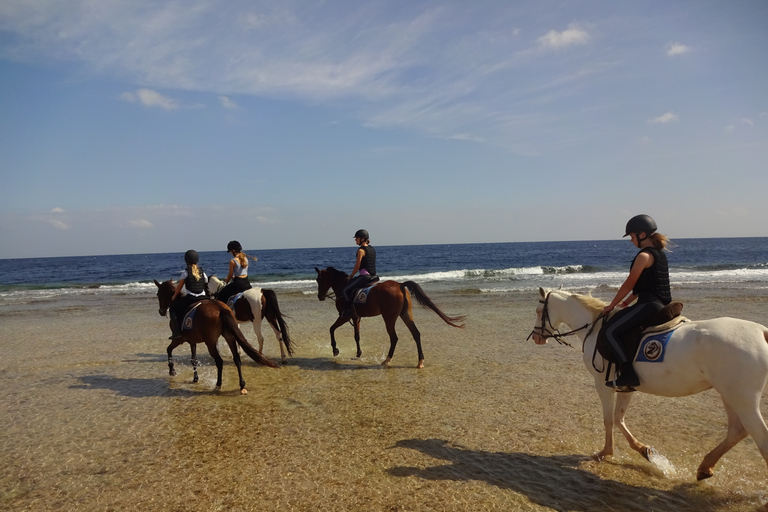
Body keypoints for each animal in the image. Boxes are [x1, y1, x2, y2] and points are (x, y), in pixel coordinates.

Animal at [314, 268, 468, 368]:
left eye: (319, 280)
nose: (320, 296)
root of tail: (400, 285)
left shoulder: (345, 317)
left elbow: (331, 329)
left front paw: (335, 350)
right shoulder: (356, 317)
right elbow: (356, 336)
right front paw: (358, 354)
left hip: (389, 318)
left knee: (394, 338)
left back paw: (387, 360)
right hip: (406, 315)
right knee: (416, 334)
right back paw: (420, 362)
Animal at [532, 286, 768, 494]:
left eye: (538, 312)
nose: (536, 337)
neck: (596, 329)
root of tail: (761, 331)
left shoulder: (602, 384)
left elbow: (608, 420)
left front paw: (605, 452)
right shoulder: (626, 387)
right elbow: (619, 419)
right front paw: (645, 450)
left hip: (741, 398)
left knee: (758, 435)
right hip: (729, 394)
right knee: (737, 431)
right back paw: (704, 468)